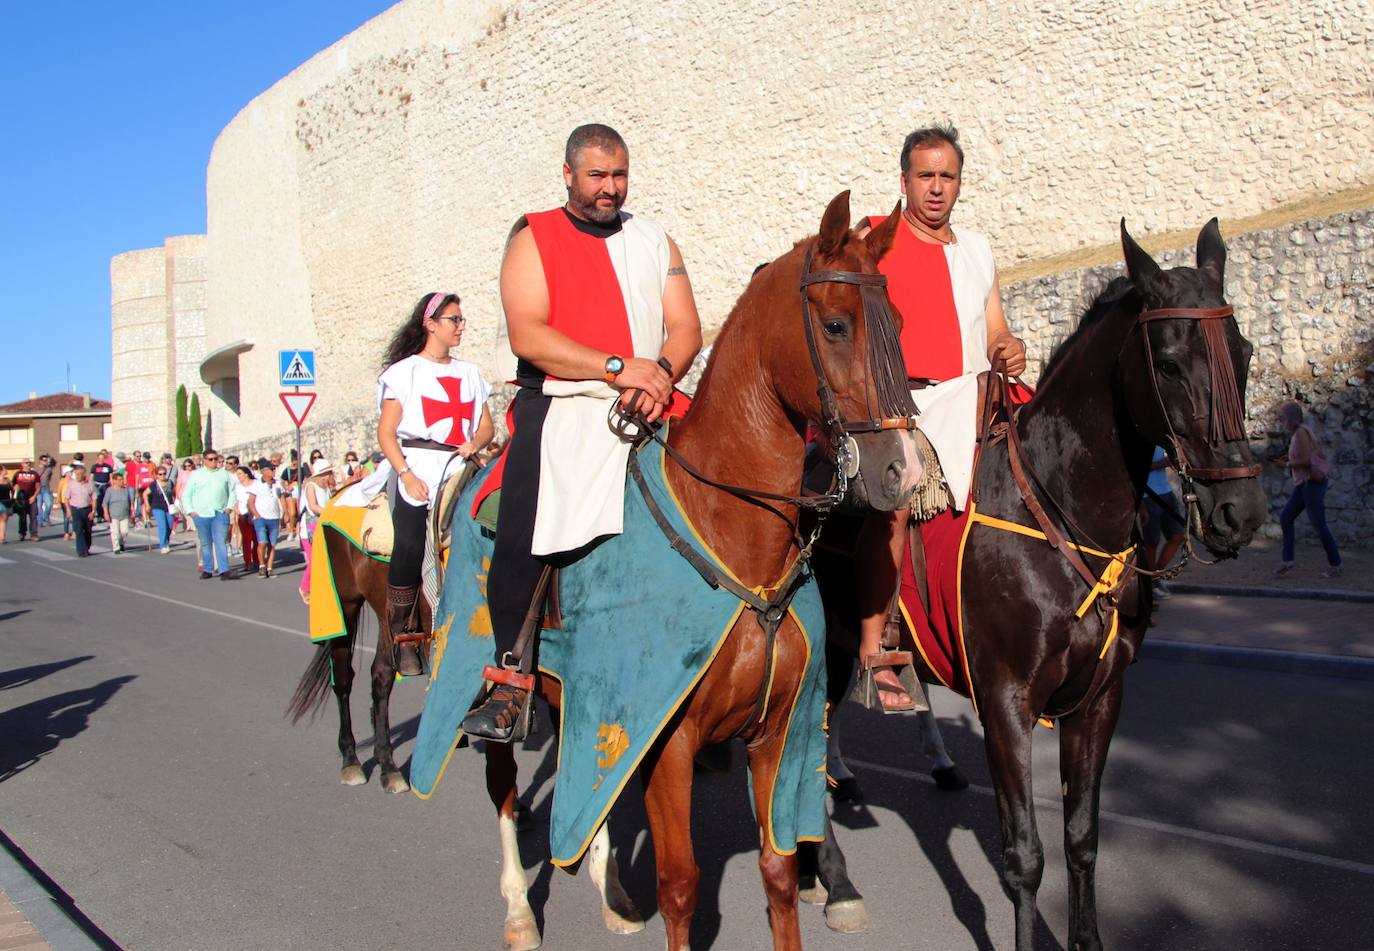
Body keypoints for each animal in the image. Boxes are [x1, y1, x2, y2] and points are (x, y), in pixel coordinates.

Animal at [807, 218, 1269, 945]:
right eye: (1168, 362)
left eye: (1244, 352)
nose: (1240, 512)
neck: (1060, 510)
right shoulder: (1004, 701)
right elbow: (1025, 855)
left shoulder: (1099, 699)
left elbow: (1081, 838)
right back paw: (836, 878)